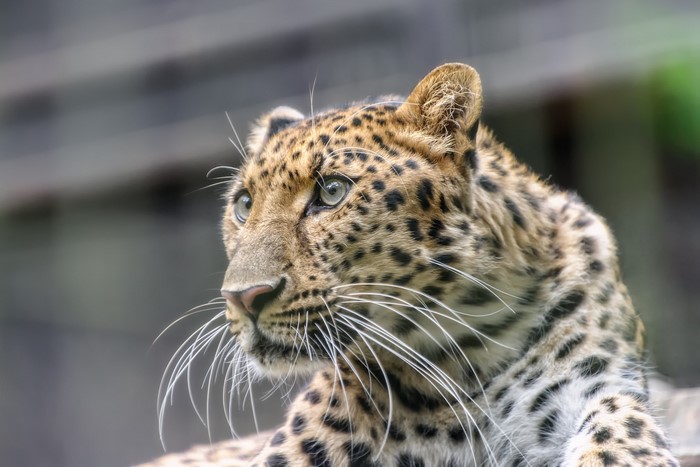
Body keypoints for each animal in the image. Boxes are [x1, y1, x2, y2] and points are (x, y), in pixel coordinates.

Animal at [142, 63, 679, 466]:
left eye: (331, 192)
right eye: (243, 205)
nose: (243, 297)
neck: (471, 350)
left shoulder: (597, 381)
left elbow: (621, 421)